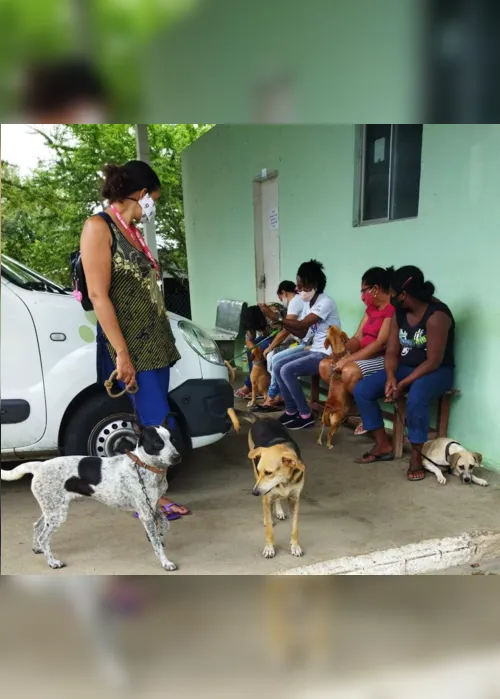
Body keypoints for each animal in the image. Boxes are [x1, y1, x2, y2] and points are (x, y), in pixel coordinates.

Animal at [0, 424, 181, 572]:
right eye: (158, 443)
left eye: (173, 439)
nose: (177, 457)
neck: (144, 465)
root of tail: (39, 465)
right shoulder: (146, 514)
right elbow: (157, 544)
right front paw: (165, 562)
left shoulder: (154, 507)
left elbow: (165, 524)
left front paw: (160, 537)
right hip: (57, 514)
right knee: (44, 537)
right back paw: (52, 562)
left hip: (51, 509)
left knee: (37, 526)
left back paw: (37, 548)